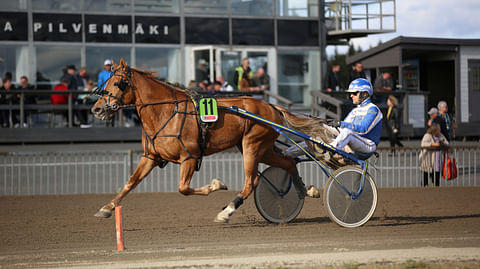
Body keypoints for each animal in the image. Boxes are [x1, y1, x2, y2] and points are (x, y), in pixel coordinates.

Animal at [91, 58, 338, 222]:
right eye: (106, 83)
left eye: (118, 84)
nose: (96, 108)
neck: (165, 112)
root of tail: (271, 106)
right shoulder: (150, 157)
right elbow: (130, 182)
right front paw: (107, 207)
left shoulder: (190, 157)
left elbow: (183, 188)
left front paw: (217, 184)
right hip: (260, 147)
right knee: (286, 163)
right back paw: (303, 190)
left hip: (252, 146)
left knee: (251, 182)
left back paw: (226, 211)